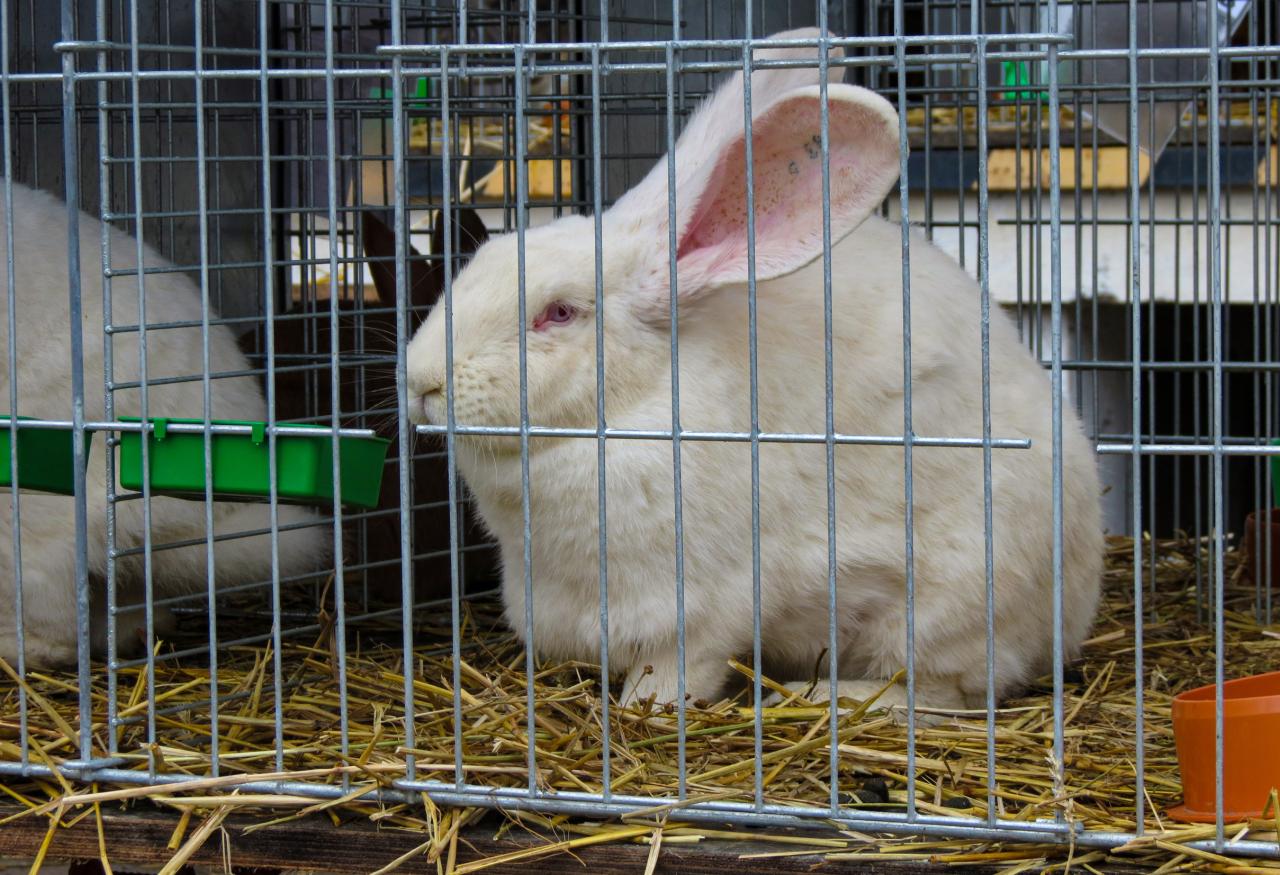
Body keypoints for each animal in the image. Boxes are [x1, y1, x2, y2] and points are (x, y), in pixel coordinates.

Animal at [404, 27, 1105, 718]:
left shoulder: (698, 610)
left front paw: (642, 708)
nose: (420, 382)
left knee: (938, 693)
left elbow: (678, 672)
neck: (616, 421)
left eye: (558, 312)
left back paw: (828, 695)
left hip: (946, 605)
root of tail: (1073, 609)